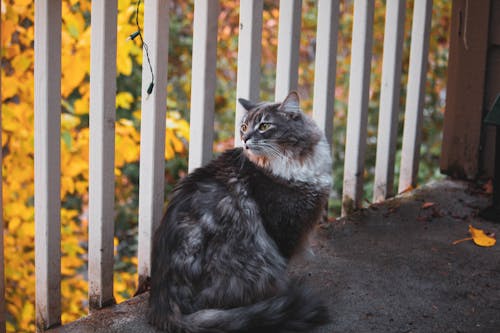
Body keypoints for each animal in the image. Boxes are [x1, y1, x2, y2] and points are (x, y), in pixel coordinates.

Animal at [150, 91, 334, 332]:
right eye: (244, 127)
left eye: (264, 126)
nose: (245, 139)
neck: (290, 160)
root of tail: (164, 303)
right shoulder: (283, 229)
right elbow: (284, 266)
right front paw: (284, 295)